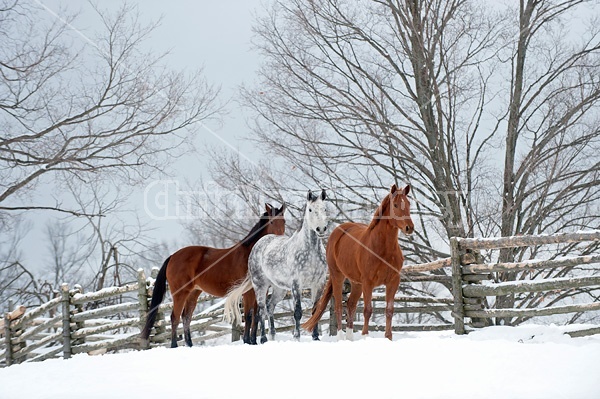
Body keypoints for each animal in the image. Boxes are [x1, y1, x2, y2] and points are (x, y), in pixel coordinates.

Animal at [143, 203, 288, 346]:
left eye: (284, 221)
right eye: (271, 221)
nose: (279, 240)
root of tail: (173, 256)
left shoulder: (261, 290)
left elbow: (257, 315)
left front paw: (254, 341)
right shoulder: (248, 291)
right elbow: (248, 315)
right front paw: (247, 341)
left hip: (193, 293)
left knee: (186, 317)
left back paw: (190, 344)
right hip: (180, 293)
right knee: (175, 317)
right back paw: (174, 345)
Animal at [225, 191, 328, 344]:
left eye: (324, 209)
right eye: (310, 210)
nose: (321, 229)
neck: (310, 252)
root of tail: (258, 244)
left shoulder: (318, 283)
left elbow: (316, 310)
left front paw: (315, 337)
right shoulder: (296, 284)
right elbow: (297, 312)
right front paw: (296, 337)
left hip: (279, 289)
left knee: (270, 306)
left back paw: (272, 335)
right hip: (260, 286)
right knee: (260, 311)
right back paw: (263, 339)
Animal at [304, 184, 412, 340]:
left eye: (409, 204)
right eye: (396, 205)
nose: (409, 228)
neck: (382, 248)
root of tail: (338, 231)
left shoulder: (393, 281)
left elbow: (389, 310)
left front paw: (388, 337)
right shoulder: (368, 283)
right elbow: (367, 310)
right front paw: (365, 335)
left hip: (356, 283)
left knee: (350, 305)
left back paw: (350, 338)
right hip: (338, 277)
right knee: (339, 306)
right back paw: (341, 337)